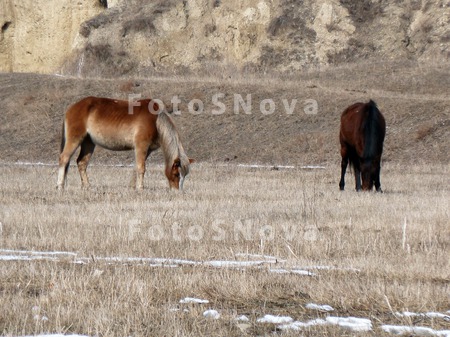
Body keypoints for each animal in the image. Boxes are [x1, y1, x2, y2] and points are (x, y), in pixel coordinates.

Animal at [57, 96, 193, 190]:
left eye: (185, 175)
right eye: (176, 174)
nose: (177, 191)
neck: (155, 121)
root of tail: (72, 108)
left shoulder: (146, 150)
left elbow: (136, 167)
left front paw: (132, 187)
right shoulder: (141, 147)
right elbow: (141, 168)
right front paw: (140, 188)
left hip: (88, 143)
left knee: (81, 163)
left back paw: (87, 187)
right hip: (75, 139)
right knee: (64, 158)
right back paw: (60, 186)